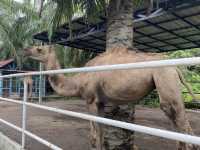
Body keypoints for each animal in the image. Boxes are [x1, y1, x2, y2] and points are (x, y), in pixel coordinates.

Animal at [24, 45, 198, 150]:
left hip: (164, 77)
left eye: (39, 49)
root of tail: (176, 68)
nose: (26, 50)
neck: (78, 80)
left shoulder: (91, 100)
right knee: (175, 120)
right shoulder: (100, 102)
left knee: (179, 119)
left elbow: (94, 134)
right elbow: (101, 132)